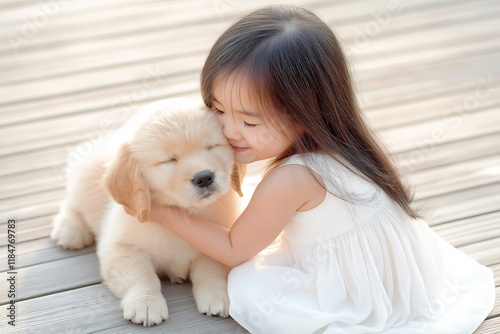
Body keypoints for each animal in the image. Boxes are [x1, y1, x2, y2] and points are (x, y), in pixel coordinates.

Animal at [50, 97, 244, 326]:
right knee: (72, 203)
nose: (204, 177)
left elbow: (211, 267)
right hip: (85, 179)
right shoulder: (121, 248)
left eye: (212, 146)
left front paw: (216, 294)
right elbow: (140, 274)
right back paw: (70, 230)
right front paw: (146, 303)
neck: (186, 212)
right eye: (169, 160)